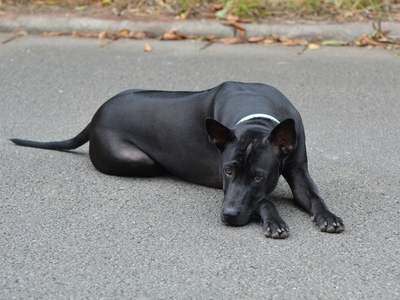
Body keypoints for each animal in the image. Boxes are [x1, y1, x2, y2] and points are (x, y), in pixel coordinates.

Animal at [11, 81, 344, 239]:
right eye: (228, 171)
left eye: (259, 176)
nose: (229, 216)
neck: (257, 119)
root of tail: (94, 117)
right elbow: (263, 200)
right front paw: (274, 220)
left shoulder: (298, 171)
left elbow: (313, 196)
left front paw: (328, 216)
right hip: (138, 161)